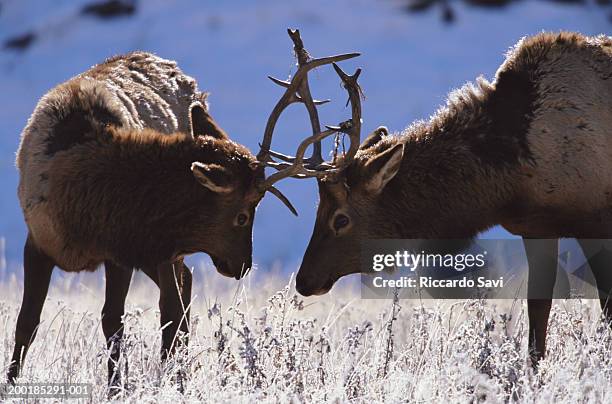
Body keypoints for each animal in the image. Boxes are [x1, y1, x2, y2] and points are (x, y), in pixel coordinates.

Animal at [7, 51, 296, 388]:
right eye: (242, 216)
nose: (243, 266)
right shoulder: (38, 241)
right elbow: (27, 322)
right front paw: (10, 382)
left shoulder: (120, 254)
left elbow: (113, 322)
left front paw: (117, 388)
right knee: (184, 289)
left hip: (159, 251)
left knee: (174, 303)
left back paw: (176, 372)